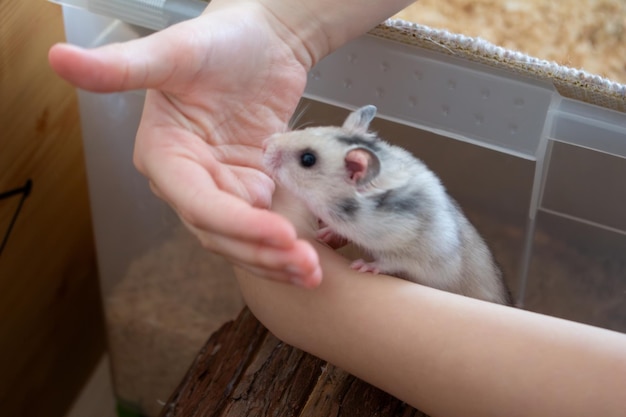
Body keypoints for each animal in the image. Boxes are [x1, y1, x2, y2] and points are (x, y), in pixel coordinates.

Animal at [260, 105, 510, 306]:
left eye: (308, 159)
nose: (264, 145)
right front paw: (323, 233)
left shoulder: (412, 252)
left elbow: (388, 263)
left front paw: (362, 266)